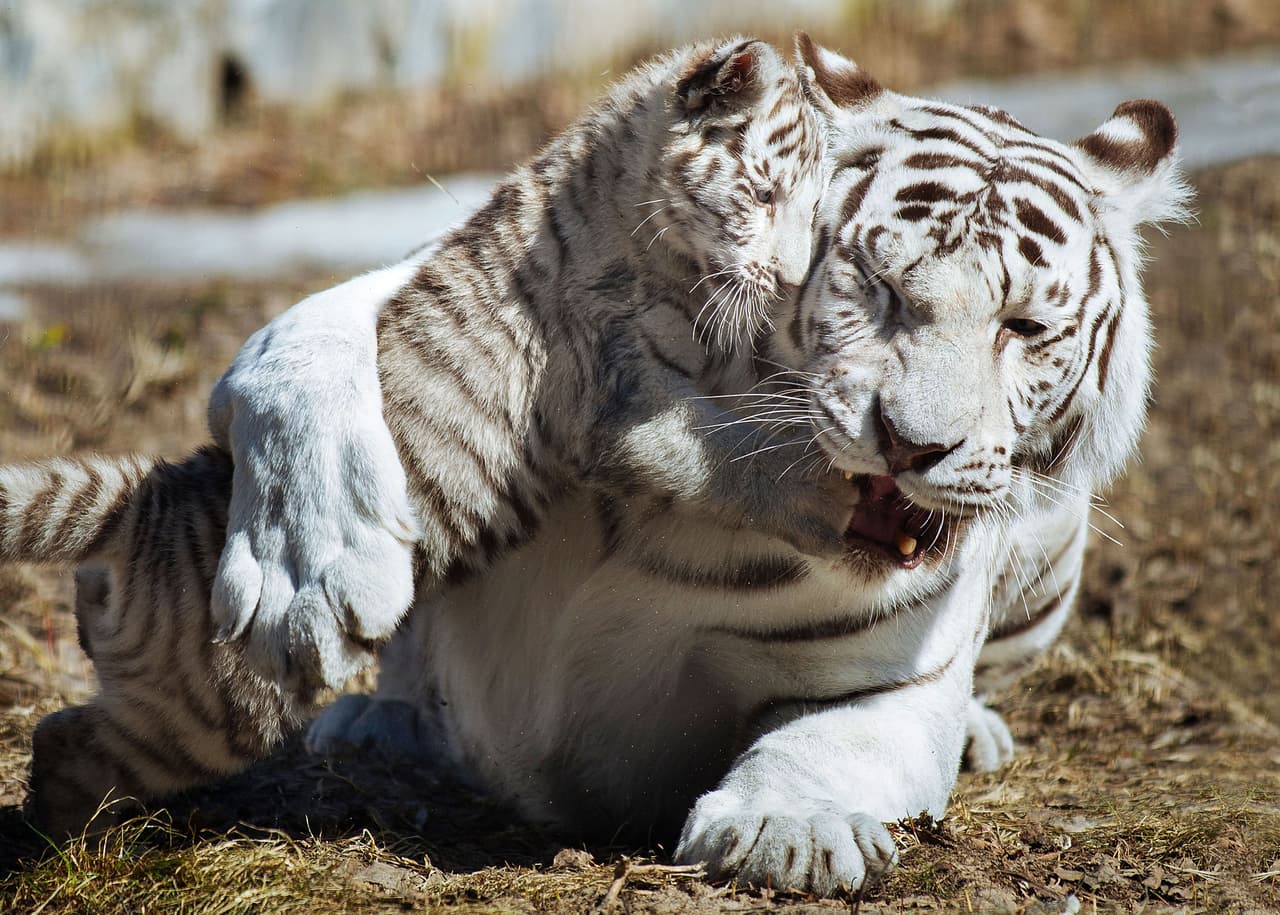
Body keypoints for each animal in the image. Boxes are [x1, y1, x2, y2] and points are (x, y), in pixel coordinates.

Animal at [4, 35, 846, 838]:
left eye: (816, 220)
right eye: (763, 194)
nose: (787, 282)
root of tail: (144, 499)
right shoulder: (621, 395)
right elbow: (731, 451)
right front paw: (837, 496)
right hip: (214, 704)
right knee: (68, 745)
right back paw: (70, 841)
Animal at [216, 38, 1191, 895]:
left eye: (1022, 327)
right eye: (876, 283)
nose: (909, 442)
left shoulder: (893, 680)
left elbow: (823, 742)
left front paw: (788, 832)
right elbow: (299, 345)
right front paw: (301, 580)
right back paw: (373, 720)